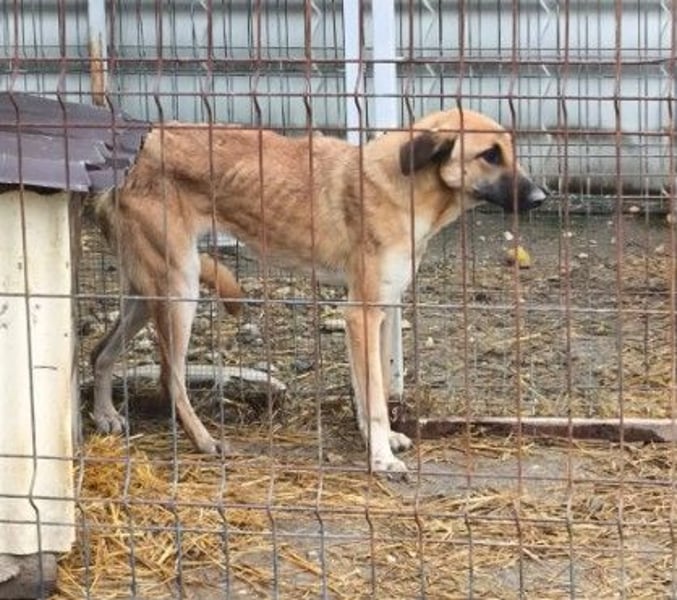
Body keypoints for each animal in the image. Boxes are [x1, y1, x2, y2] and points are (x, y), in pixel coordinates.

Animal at [90, 108, 545, 473]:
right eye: (490, 155)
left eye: (511, 150)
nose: (543, 196)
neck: (408, 187)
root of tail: (127, 158)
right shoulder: (361, 313)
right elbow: (376, 398)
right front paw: (382, 459)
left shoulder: (377, 311)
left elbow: (371, 388)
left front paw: (376, 441)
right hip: (180, 288)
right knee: (171, 377)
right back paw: (203, 440)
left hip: (149, 293)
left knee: (100, 352)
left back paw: (105, 415)